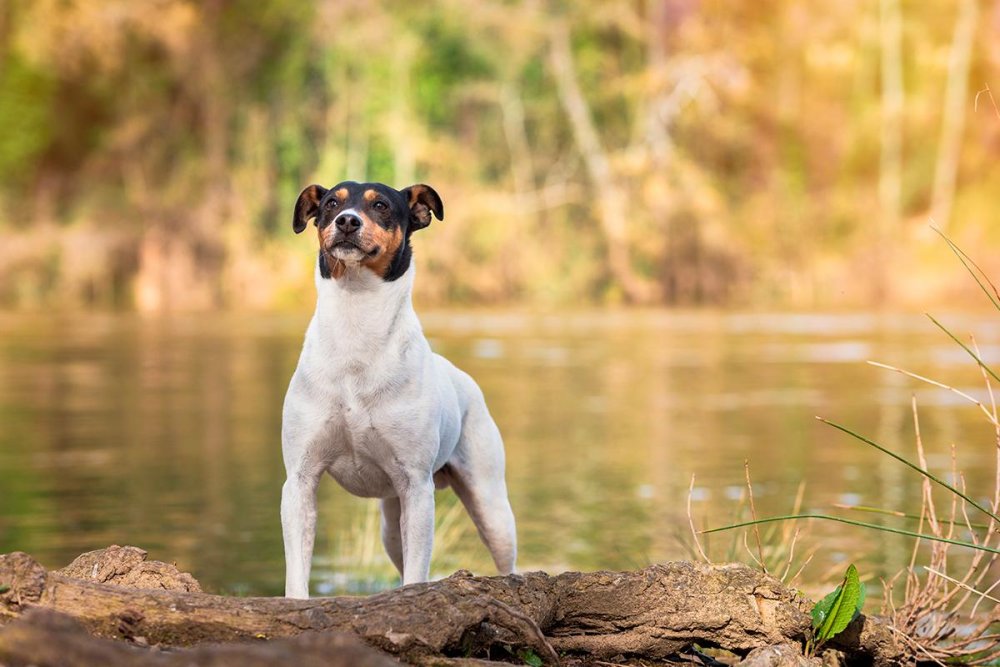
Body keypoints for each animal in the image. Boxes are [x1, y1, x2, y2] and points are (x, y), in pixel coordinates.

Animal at [280, 180, 516, 596]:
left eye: (382, 206)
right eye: (330, 204)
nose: (347, 221)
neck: (357, 321)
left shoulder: (416, 488)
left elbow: (417, 575)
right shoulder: (299, 481)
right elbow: (297, 571)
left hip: (490, 505)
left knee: (505, 560)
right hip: (391, 523)